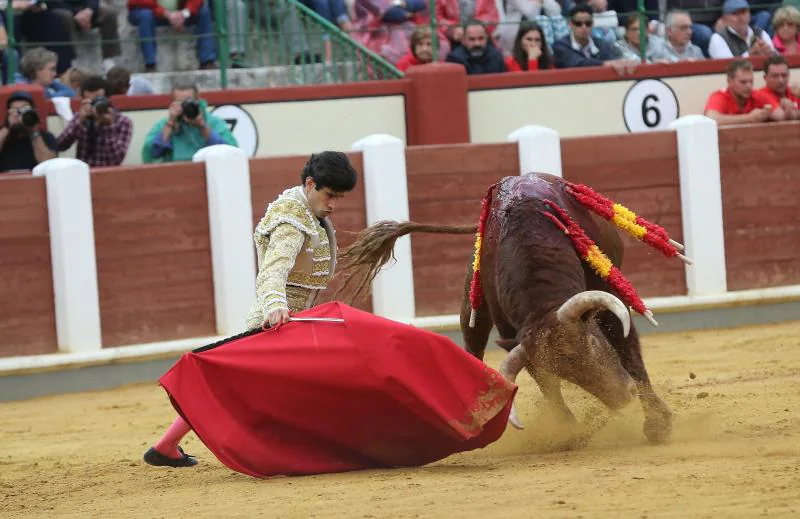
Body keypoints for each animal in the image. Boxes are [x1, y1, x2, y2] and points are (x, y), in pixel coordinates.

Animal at [338, 173, 688, 444]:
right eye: (567, 374)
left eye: (591, 341)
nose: (622, 396)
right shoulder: (516, 335)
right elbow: (548, 386)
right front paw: (569, 432)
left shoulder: (609, 300)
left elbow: (629, 352)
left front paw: (658, 424)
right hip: (473, 306)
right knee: (473, 343)